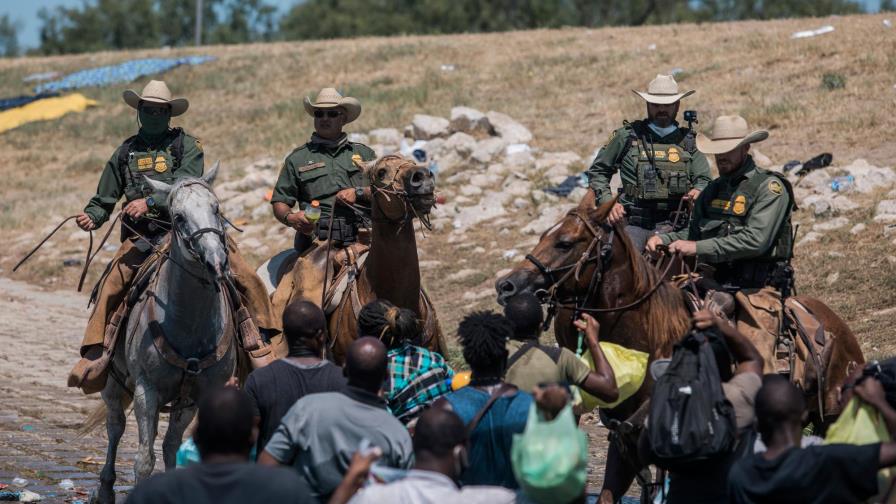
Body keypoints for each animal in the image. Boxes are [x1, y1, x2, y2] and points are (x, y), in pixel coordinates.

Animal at [95, 163, 238, 502]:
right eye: (178, 217)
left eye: (216, 208)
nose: (216, 262)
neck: (191, 325)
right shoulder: (146, 391)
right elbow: (144, 459)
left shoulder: (196, 397)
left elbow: (172, 445)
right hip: (112, 382)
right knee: (115, 426)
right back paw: (105, 489)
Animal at [496, 191, 868, 502]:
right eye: (543, 236)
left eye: (565, 243)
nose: (506, 286)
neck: (650, 343)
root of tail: (837, 325)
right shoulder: (623, 445)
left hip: (830, 417)